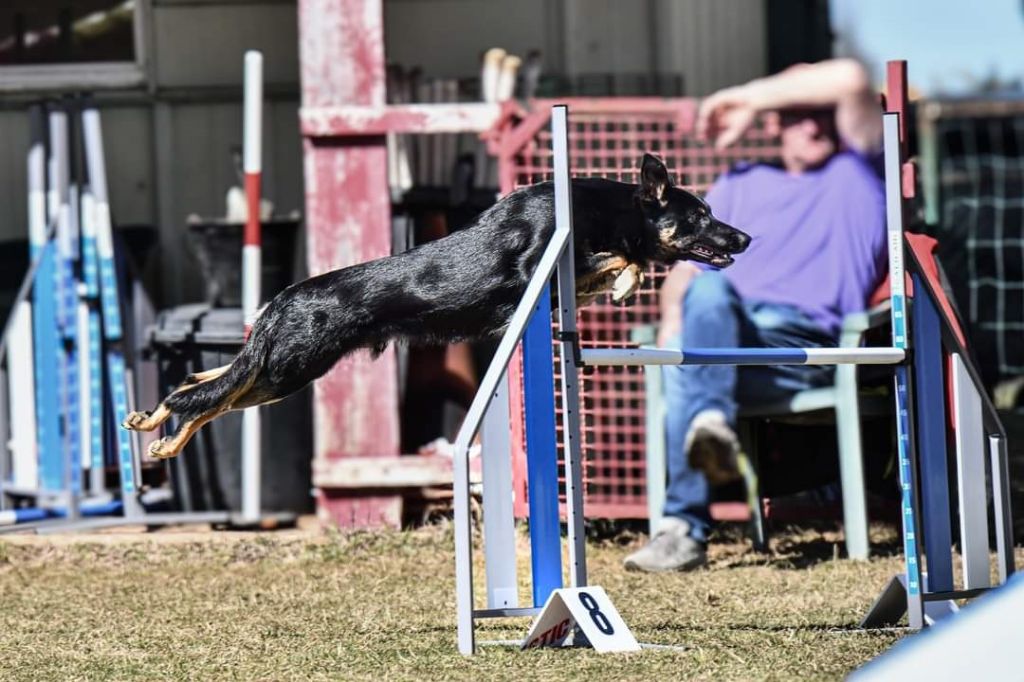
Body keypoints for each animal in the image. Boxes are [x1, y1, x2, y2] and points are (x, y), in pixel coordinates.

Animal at [125, 153, 753, 456]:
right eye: (701, 216)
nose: (744, 238)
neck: (609, 209)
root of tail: (282, 299)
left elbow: (618, 262)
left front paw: (624, 282)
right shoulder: (536, 272)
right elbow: (622, 260)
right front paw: (626, 284)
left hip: (277, 367)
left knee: (209, 378)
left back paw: (152, 419)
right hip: (290, 368)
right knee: (207, 397)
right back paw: (167, 433)